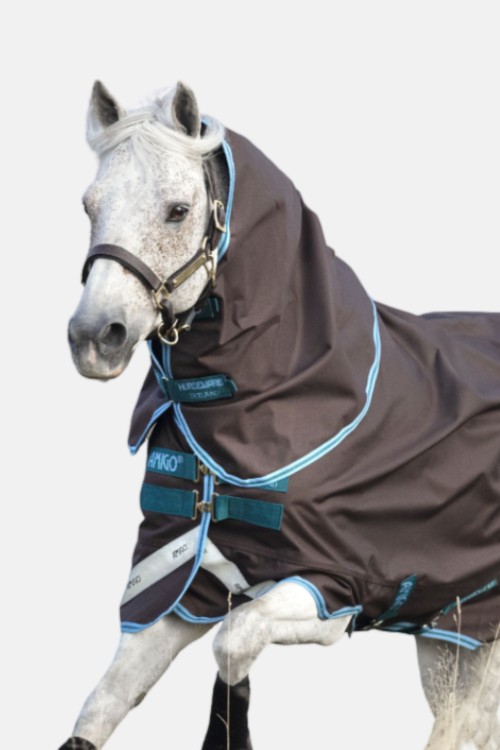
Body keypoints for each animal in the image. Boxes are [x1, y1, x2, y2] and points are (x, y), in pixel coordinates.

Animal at [62, 80, 500, 750]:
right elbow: (102, 703)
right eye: (90, 206)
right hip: (450, 632)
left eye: (178, 210)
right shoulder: (178, 583)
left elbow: (233, 644)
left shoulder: (332, 589)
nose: (93, 337)